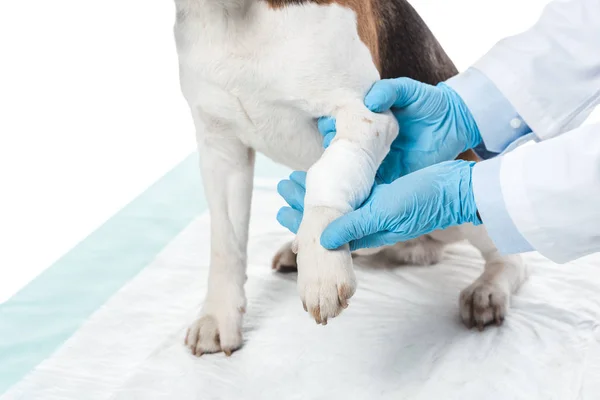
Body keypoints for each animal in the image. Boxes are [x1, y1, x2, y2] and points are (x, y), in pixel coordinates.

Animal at [175, 0, 528, 356]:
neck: (234, 14)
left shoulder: (364, 114)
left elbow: (329, 175)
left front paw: (321, 269)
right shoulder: (220, 147)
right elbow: (225, 245)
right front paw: (218, 316)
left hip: (465, 186)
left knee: (512, 257)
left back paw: (487, 292)